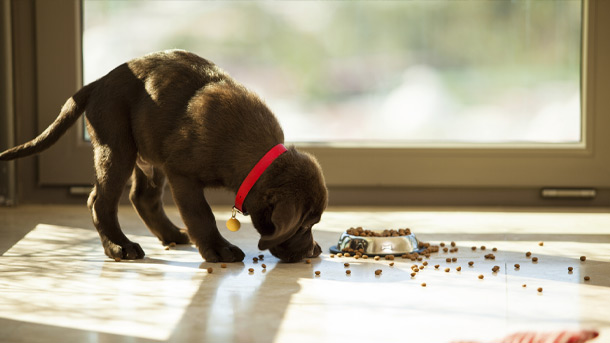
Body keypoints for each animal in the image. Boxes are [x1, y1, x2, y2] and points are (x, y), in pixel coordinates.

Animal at [0, 49, 328, 264]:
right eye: (303, 226)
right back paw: (119, 247)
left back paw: (171, 234)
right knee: (100, 201)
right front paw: (218, 249)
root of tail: (98, 83)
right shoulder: (183, 174)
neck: (255, 155)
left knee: (142, 197)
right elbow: (202, 214)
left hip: (148, 155)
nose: (314, 251)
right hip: (116, 147)